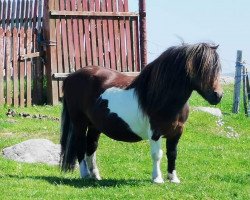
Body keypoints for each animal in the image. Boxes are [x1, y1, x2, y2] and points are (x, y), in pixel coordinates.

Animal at [60, 43, 223, 184]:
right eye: (202, 68)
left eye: (217, 69)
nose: (218, 95)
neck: (162, 97)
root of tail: (71, 76)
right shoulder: (155, 132)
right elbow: (157, 155)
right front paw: (157, 178)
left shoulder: (177, 132)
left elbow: (172, 154)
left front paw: (173, 178)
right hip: (80, 124)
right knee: (80, 146)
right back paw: (85, 174)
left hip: (95, 126)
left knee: (91, 147)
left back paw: (95, 176)